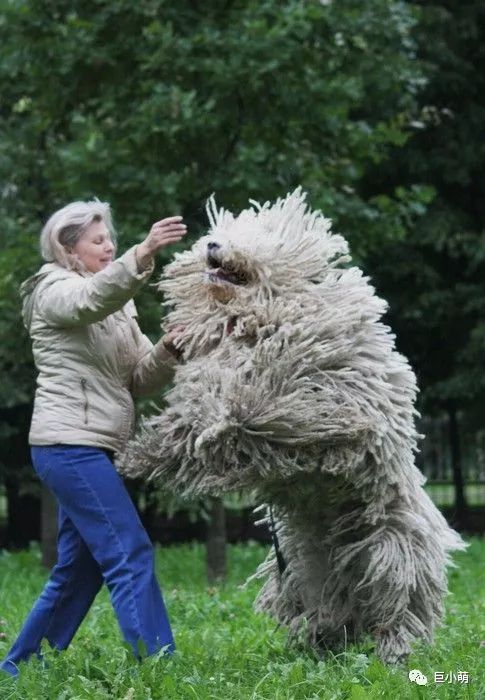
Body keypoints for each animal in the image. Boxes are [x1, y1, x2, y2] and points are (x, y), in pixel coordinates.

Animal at [119, 189, 464, 664]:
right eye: (221, 231)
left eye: (261, 238)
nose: (213, 245)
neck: (257, 320)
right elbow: (189, 425)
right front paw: (141, 453)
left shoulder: (331, 400)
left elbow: (263, 409)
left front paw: (227, 419)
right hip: (308, 566)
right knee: (331, 605)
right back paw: (323, 641)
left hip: (390, 549)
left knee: (399, 603)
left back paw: (394, 648)